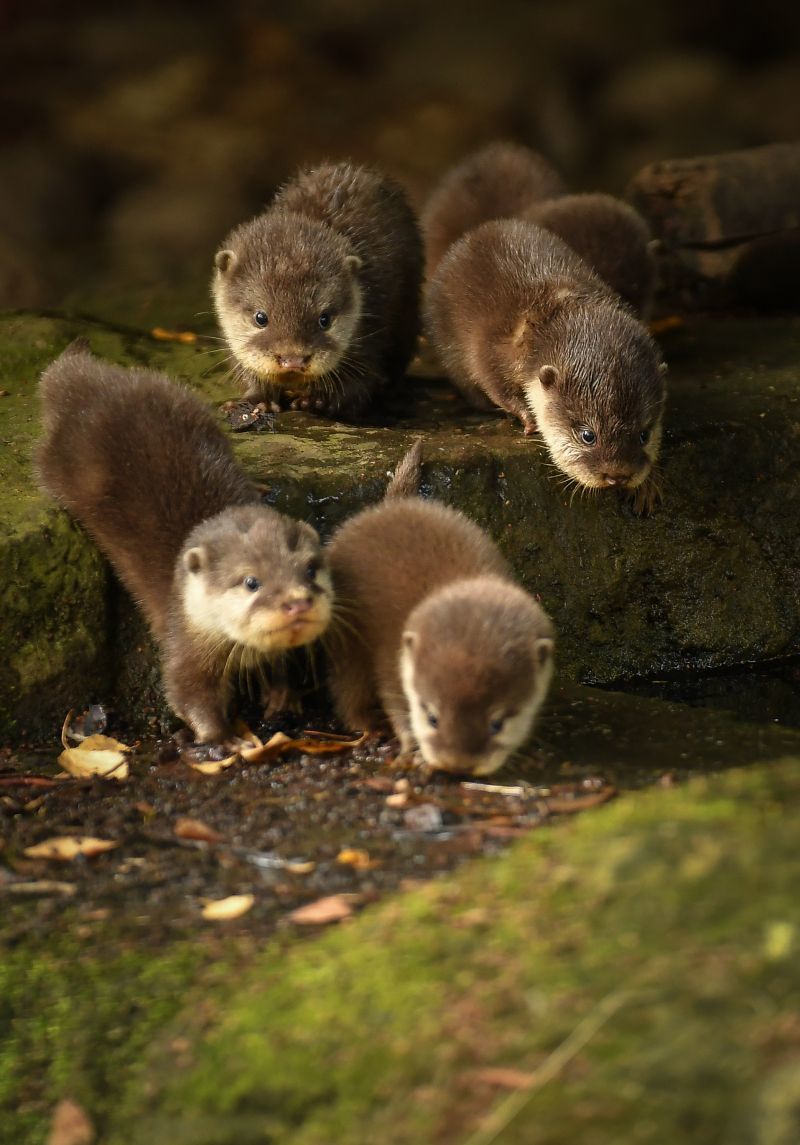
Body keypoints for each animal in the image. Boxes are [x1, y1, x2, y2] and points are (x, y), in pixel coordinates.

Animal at [36, 343, 331, 746]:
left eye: (310, 569)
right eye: (251, 582)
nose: (297, 603)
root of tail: (84, 379)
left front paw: (282, 696)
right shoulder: (184, 644)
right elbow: (186, 693)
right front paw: (226, 739)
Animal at [212, 156, 425, 416]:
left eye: (325, 319)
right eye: (260, 318)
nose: (293, 358)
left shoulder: (373, 321)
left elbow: (360, 380)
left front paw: (318, 400)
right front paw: (256, 400)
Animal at [329, 439, 553, 778]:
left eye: (497, 724)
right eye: (432, 717)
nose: (458, 765)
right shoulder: (390, 665)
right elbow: (397, 706)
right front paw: (413, 753)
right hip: (346, 645)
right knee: (347, 691)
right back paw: (367, 724)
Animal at [428, 217, 668, 510]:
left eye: (645, 434)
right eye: (588, 435)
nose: (618, 475)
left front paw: (648, 483)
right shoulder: (495, 349)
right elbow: (496, 384)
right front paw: (528, 418)